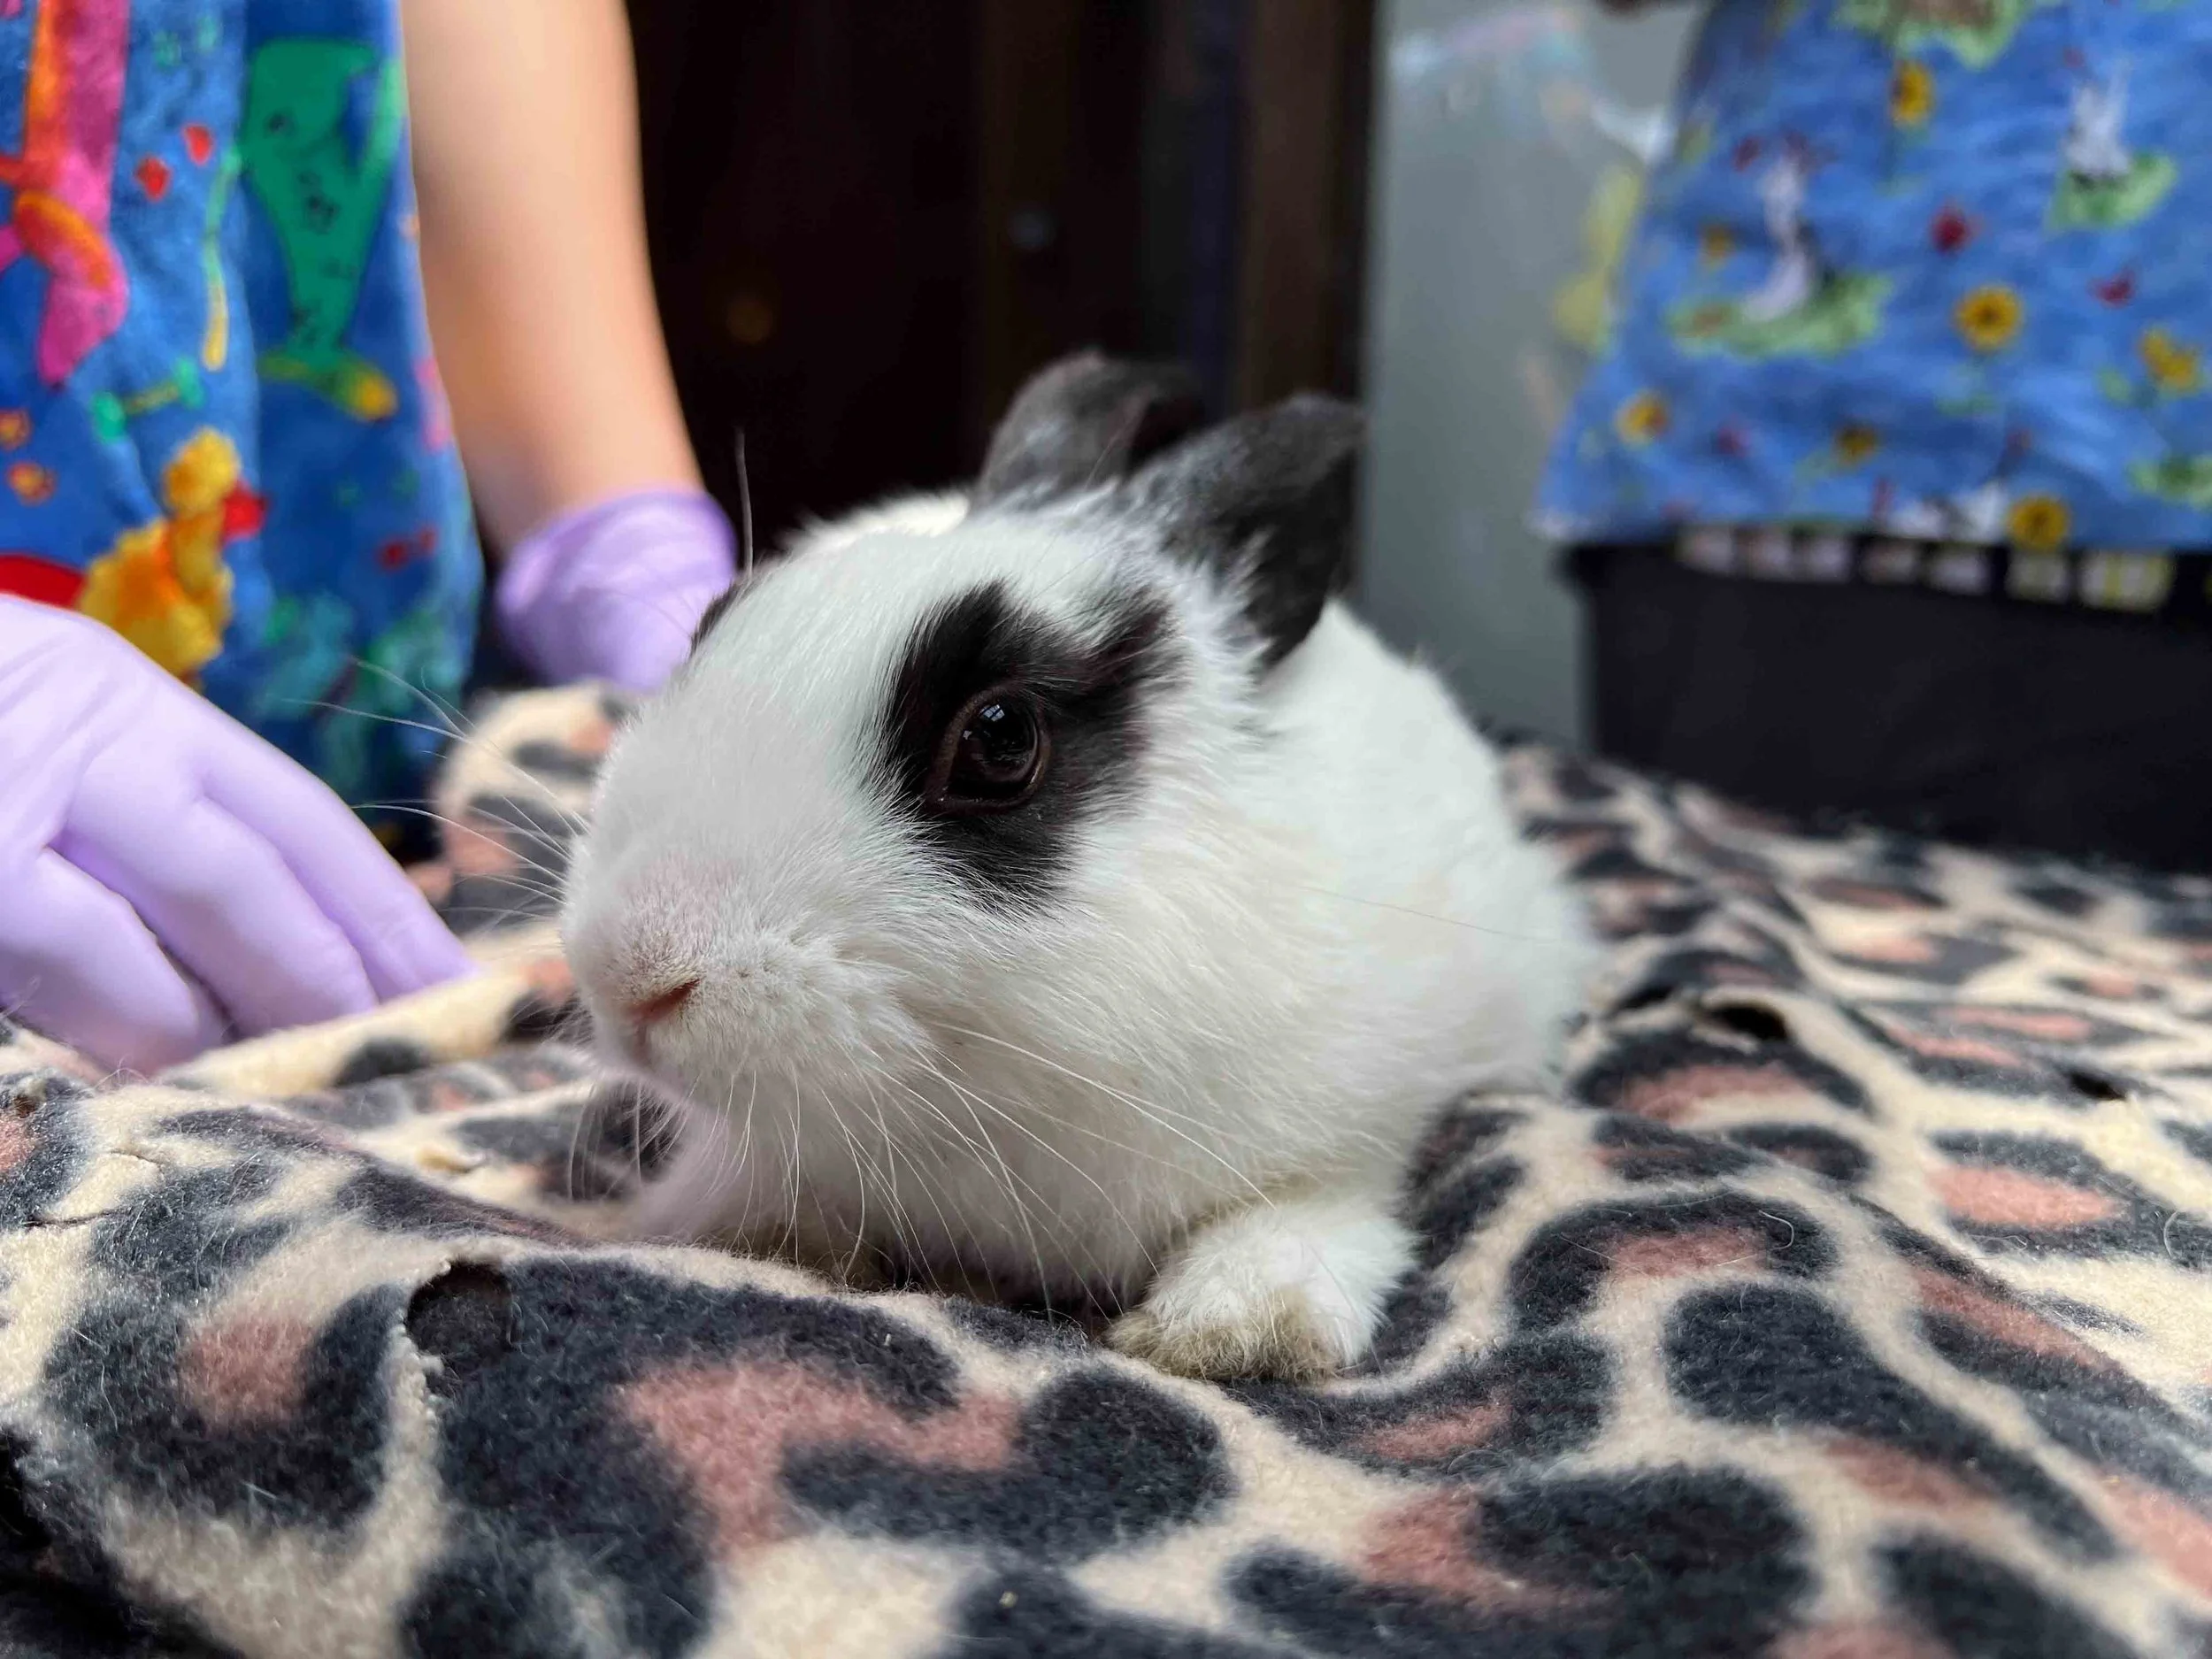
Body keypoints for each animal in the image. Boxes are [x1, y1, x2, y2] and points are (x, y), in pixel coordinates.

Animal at [562, 353, 1595, 1380]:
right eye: (712, 627)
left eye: (1000, 739)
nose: (631, 976)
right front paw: (765, 1238)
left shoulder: (1350, 1134)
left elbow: (1308, 1213)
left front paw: (1231, 1333)